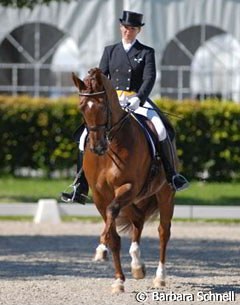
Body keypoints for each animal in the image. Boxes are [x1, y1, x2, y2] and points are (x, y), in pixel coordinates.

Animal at [72, 68, 175, 292]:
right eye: (82, 107)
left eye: (103, 106)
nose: (97, 147)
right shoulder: (100, 196)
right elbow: (114, 237)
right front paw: (118, 279)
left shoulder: (128, 187)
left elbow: (112, 217)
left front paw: (103, 244)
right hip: (131, 200)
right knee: (137, 219)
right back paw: (137, 265)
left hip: (164, 193)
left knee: (163, 231)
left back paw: (160, 277)